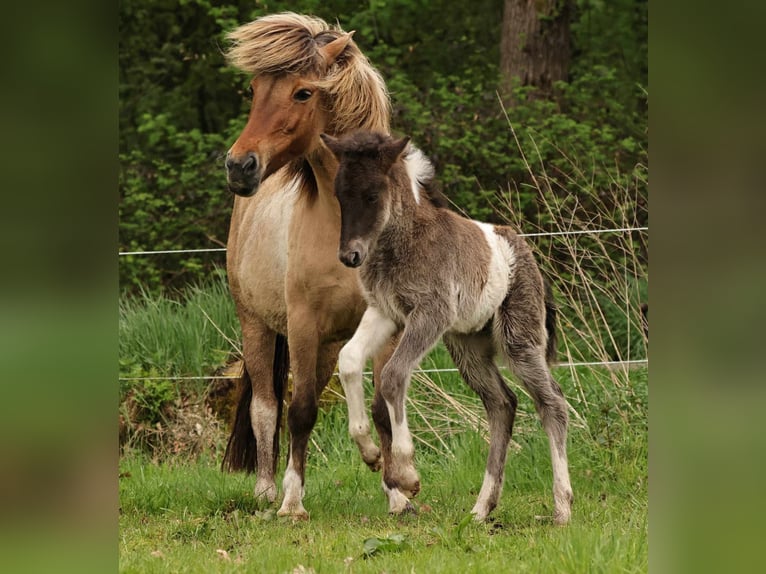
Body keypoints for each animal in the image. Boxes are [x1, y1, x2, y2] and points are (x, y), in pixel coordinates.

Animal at [221, 13, 394, 520]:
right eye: (255, 88)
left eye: (303, 92)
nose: (239, 166)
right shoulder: (301, 324)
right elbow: (297, 411)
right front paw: (292, 502)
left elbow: (383, 409)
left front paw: (398, 492)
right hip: (257, 324)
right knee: (266, 406)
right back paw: (266, 490)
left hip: (328, 344)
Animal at [321, 130, 574, 524]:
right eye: (339, 193)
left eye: (373, 194)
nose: (350, 256)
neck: (402, 243)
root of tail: (525, 251)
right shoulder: (385, 311)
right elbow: (348, 360)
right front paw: (370, 452)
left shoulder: (430, 313)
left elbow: (393, 375)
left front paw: (406, 474)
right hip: (468, 347)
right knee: (502, 404)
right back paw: (482, 509)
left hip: (518, 340)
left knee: (552, 403)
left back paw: (562, 507)